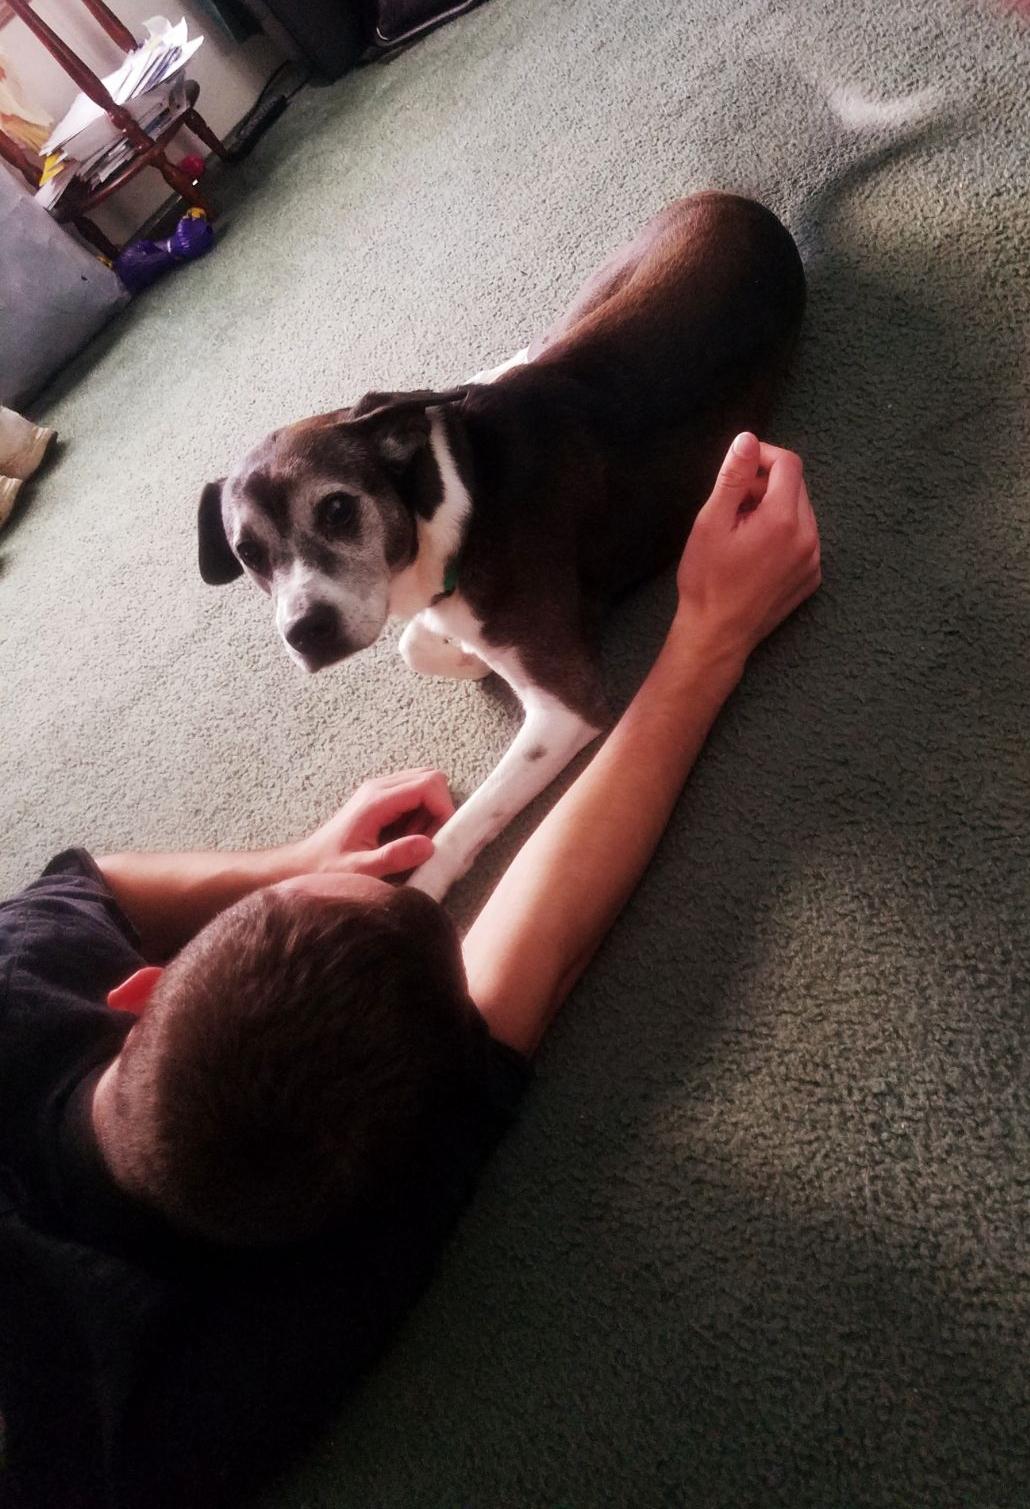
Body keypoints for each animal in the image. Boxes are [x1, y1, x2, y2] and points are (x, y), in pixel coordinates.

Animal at [197, 192, 805, 899]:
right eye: (249, 555)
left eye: (338, 508)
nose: (305, 633)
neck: (454, 494)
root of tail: (742, 203)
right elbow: (416, 643)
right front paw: (466, 654)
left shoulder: (564, 710)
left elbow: (462, 823)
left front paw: (420, 893)